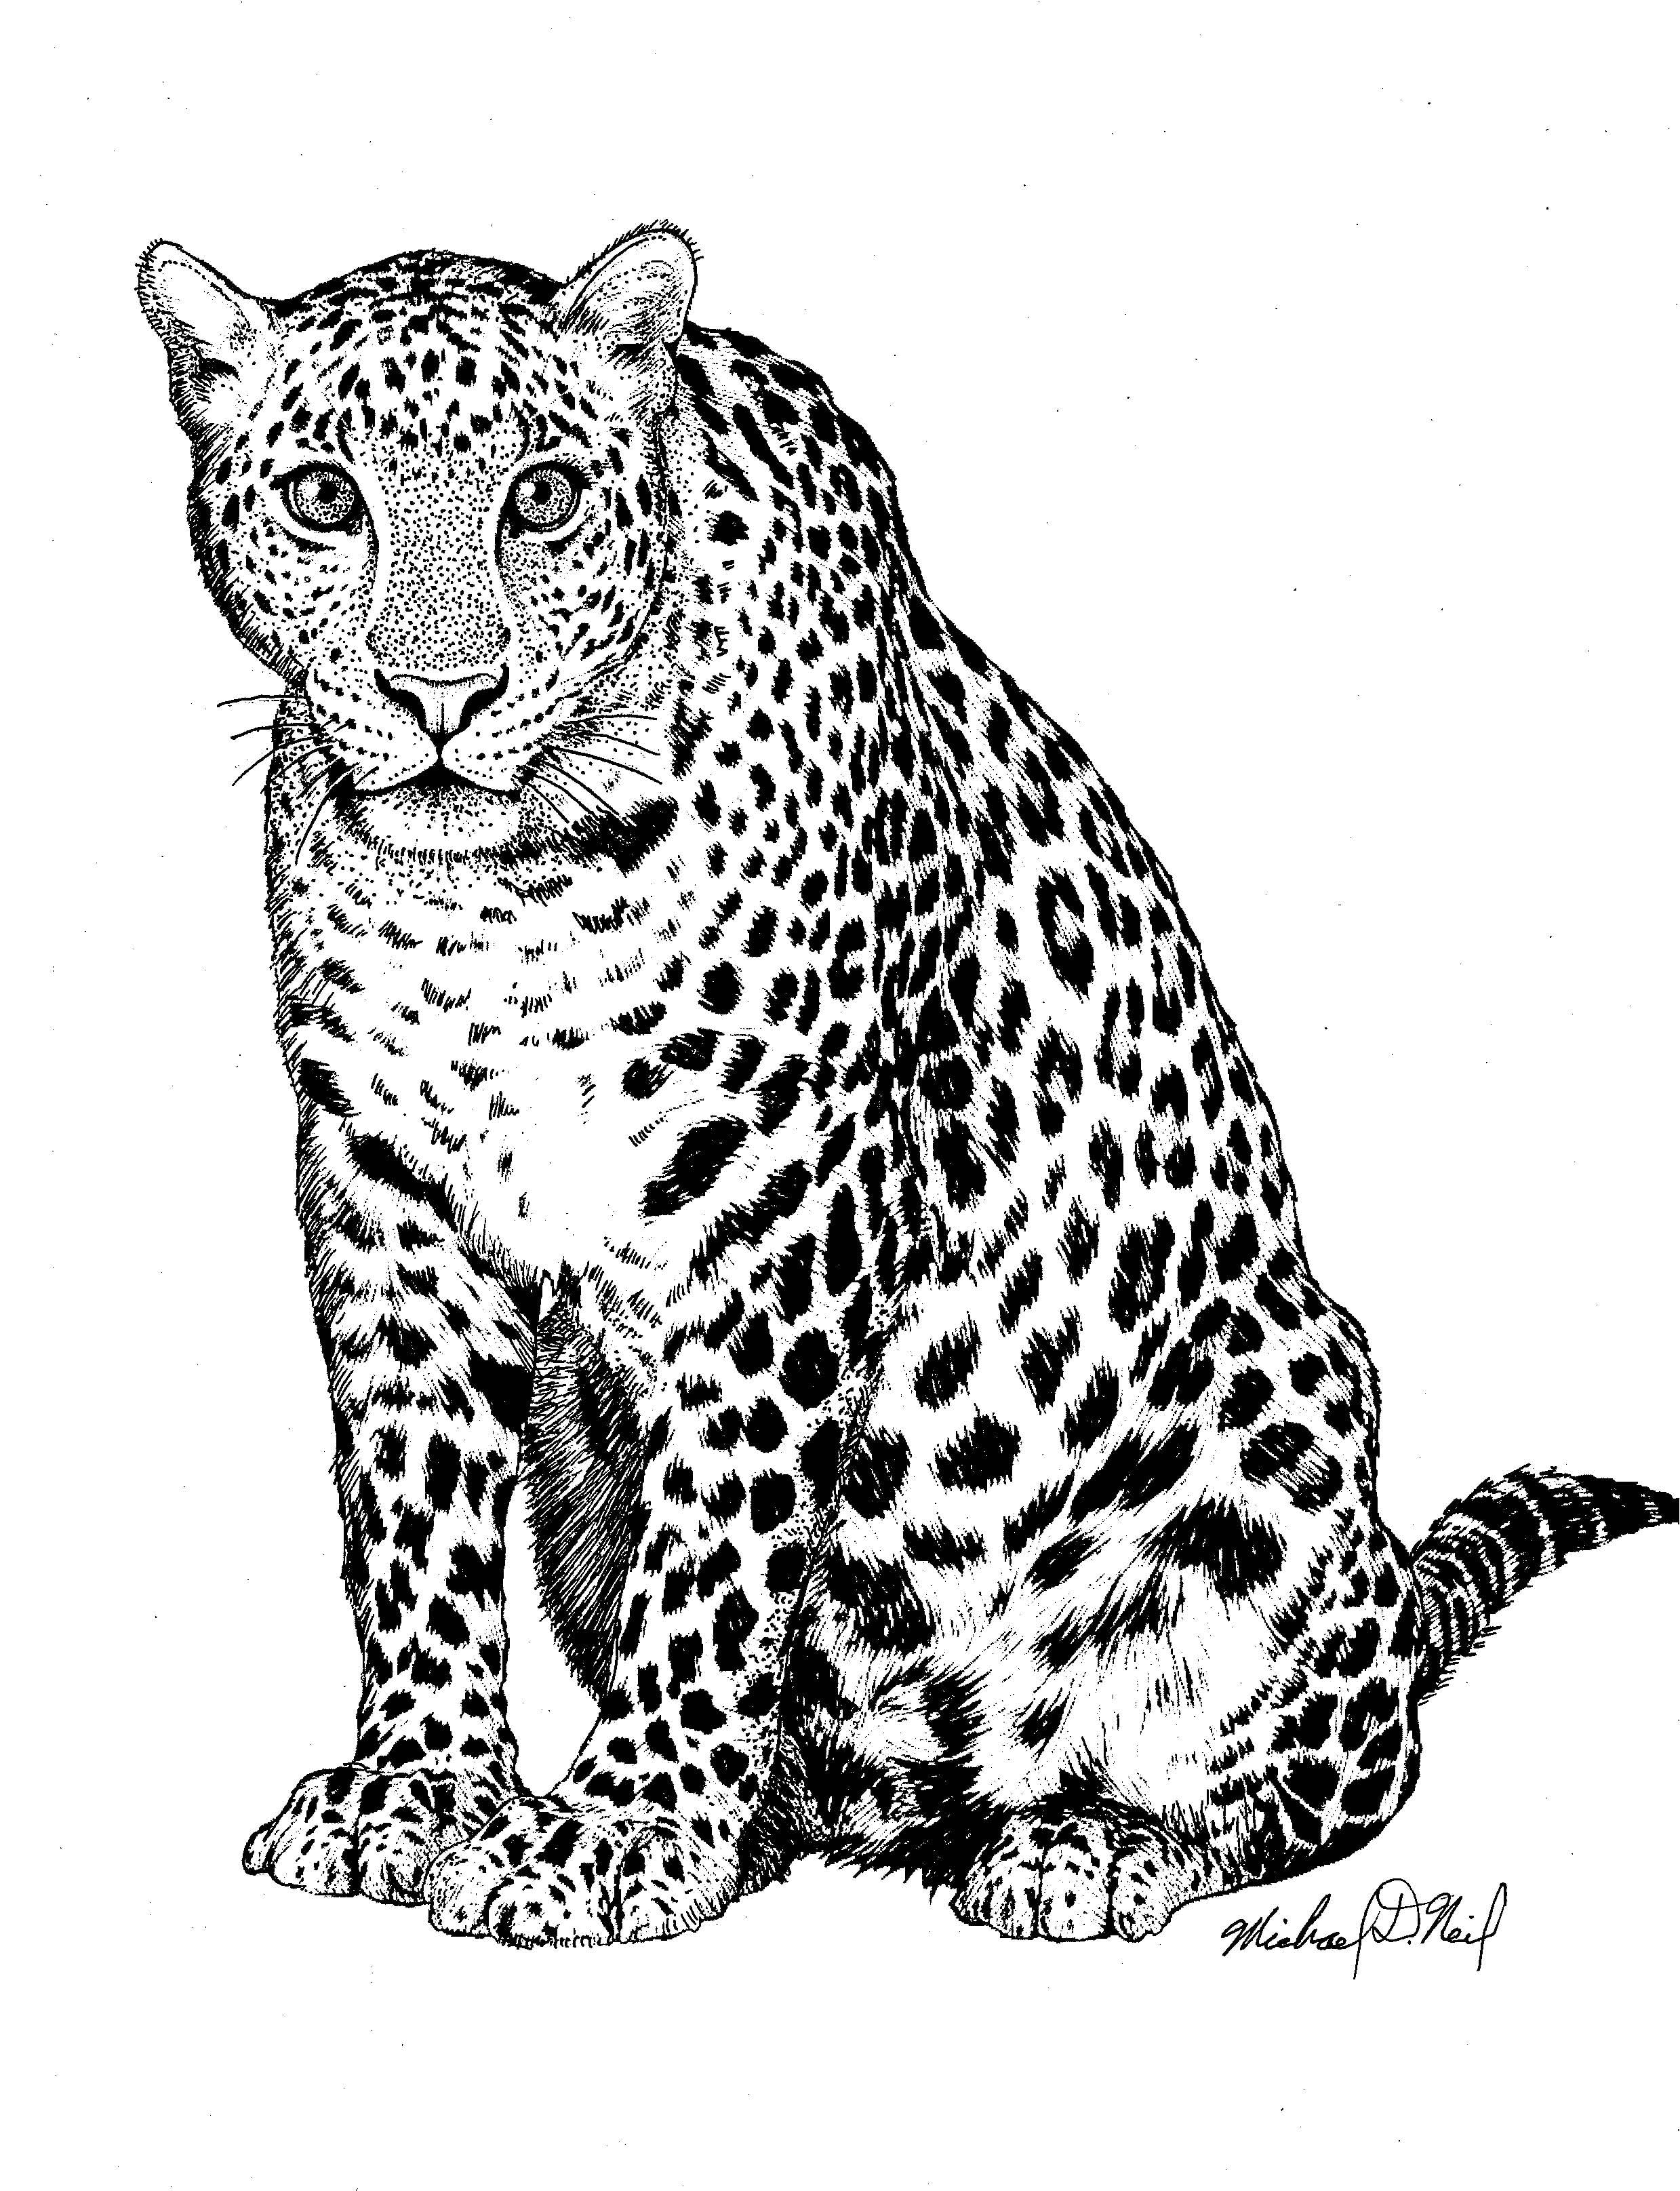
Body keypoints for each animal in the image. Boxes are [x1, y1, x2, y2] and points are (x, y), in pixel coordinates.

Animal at [137, 223, 1676, 1947]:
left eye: (542, 495)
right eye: (321, 497)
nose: (438, 694)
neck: (505, 897)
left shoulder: (777, 1211)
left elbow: (715, 1557)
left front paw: (615, 1834)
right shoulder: (387, 1202)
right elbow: (411, 1519)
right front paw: (417, 1792)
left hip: (1283, 1411)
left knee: (1327, 1776)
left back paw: (1086, 1845)